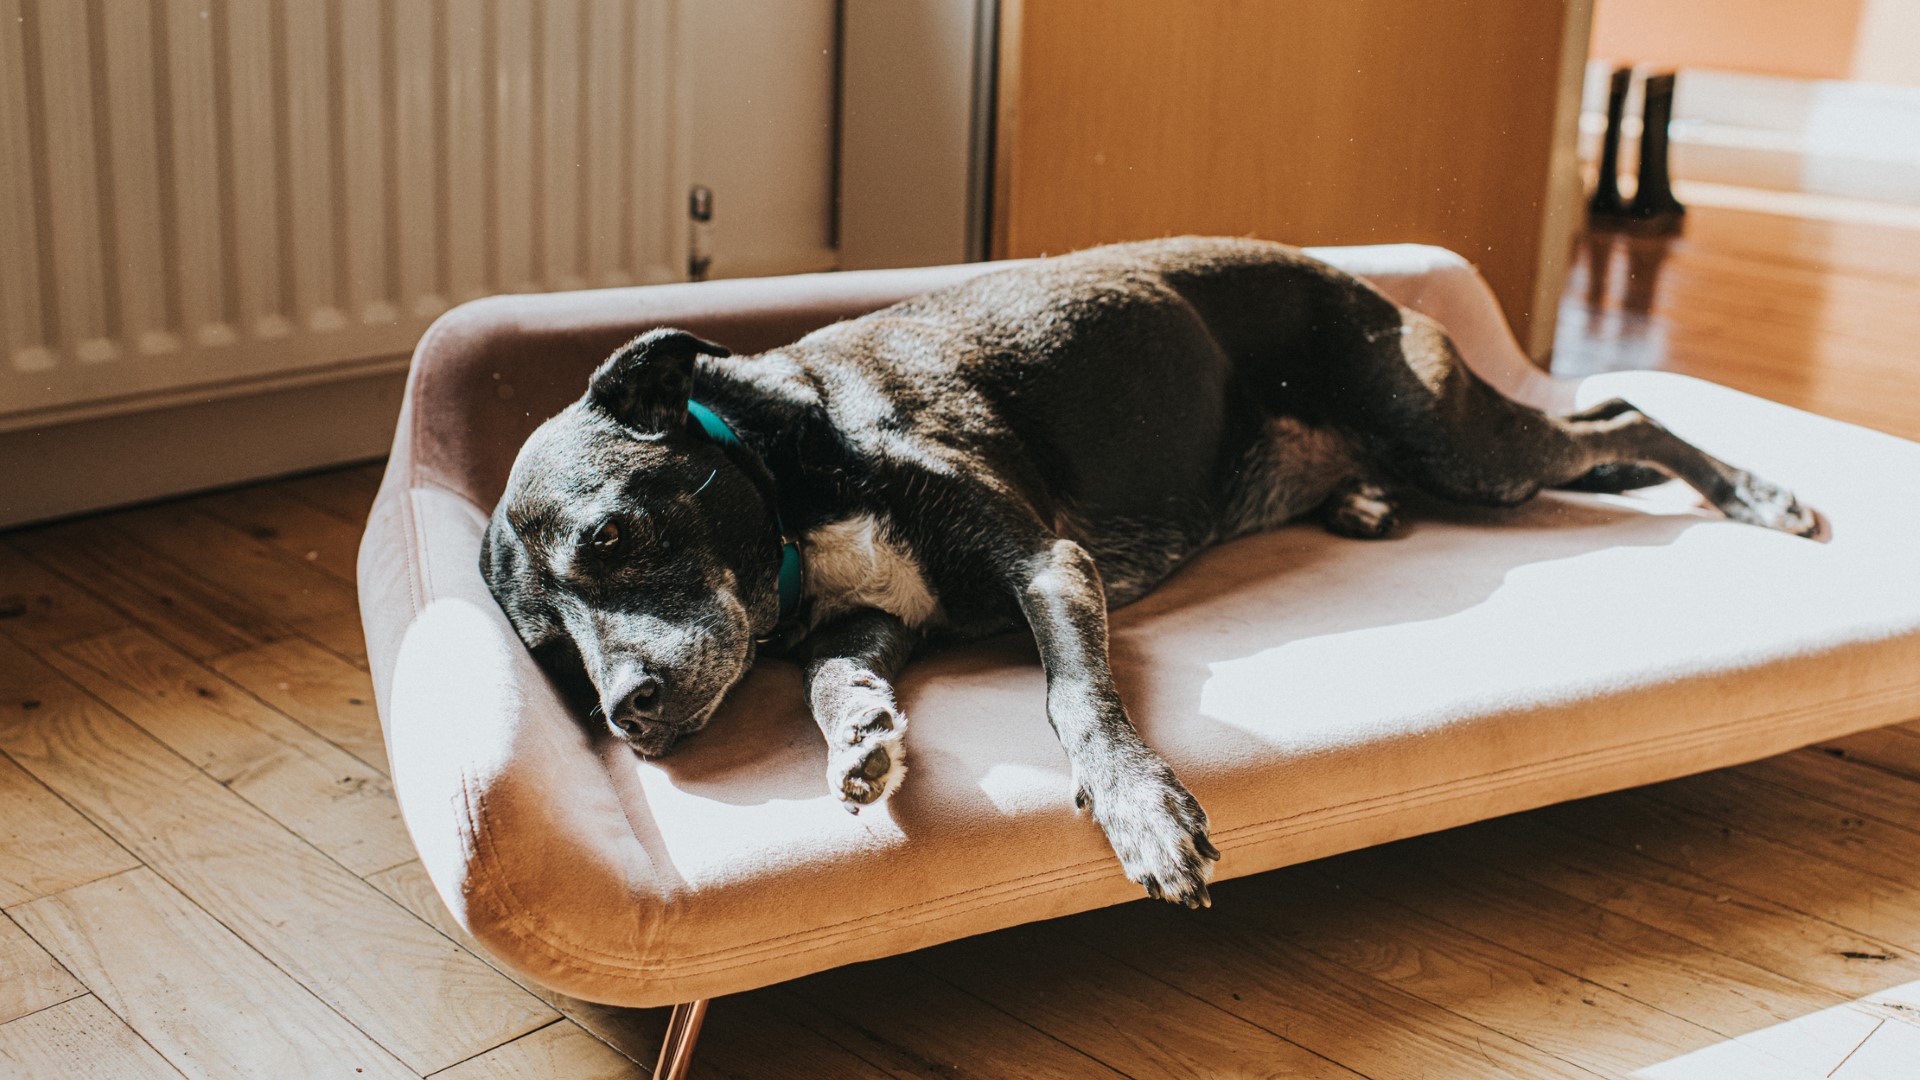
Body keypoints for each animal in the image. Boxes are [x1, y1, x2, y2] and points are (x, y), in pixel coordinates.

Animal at [483, 235, 1812, 899]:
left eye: (612, 536)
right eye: (546, 653)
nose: (628, 713)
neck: (788, 481)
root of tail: (1355, 275)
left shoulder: (1046, 562)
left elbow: (1077, 700)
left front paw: (1138, 810)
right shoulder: (880, 622)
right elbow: (829, 679)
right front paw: (861, 738)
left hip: (1464, 442)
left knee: (1624, 413)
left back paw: (1759, 495)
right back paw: (1365, 499)